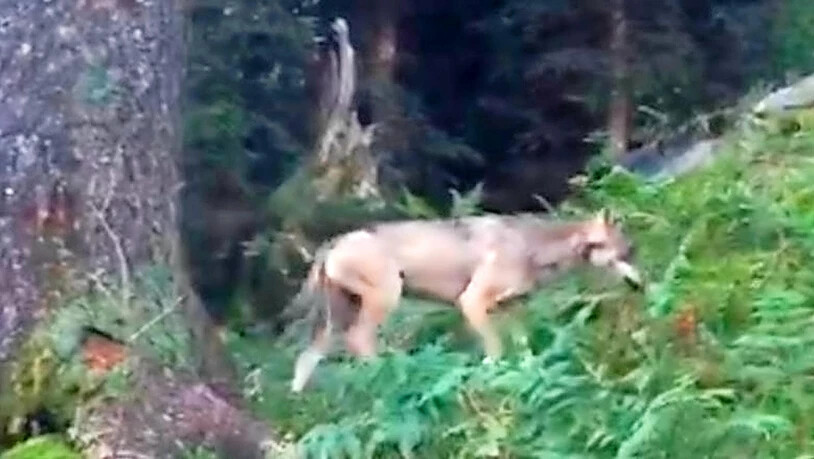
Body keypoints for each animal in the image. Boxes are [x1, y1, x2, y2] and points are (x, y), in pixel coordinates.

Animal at [288, 208, 644, 392]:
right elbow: (495, 350)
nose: (642, 285)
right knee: (359, 341)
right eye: (627, 254)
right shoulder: (472, 302)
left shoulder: (511, 308)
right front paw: (491, 375)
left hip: (332, 322)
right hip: (383, 301)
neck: (533, 247)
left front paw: (531, 374)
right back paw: (389, 376)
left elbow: (525, 348)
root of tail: (332, 242)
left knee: (305, 360)